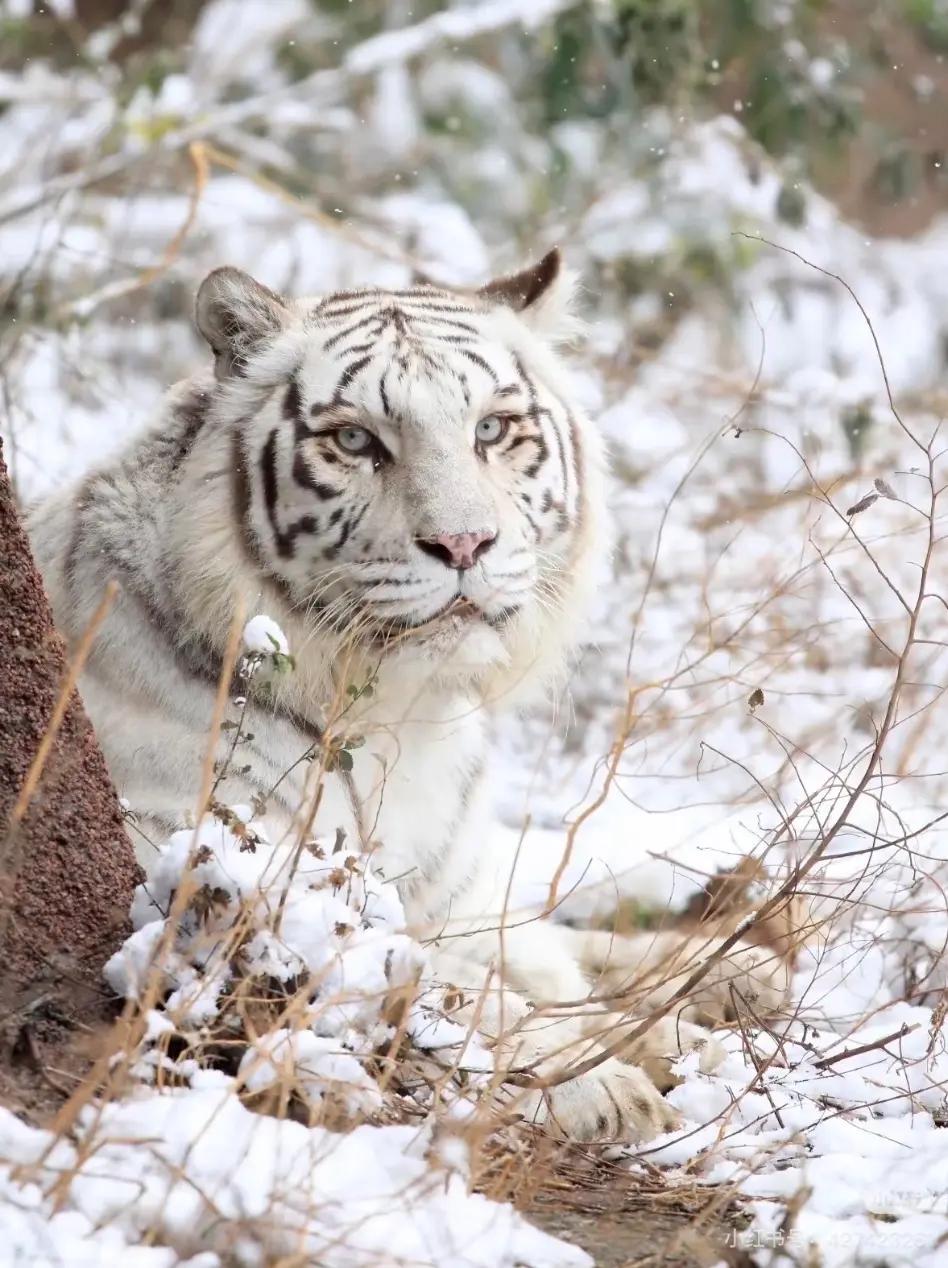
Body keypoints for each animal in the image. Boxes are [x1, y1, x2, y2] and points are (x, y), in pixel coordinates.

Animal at [29, 251, 785, 1142]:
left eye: (491, 429)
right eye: (355, 439)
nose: (464, 543)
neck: (408, 714)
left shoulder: (457, 893)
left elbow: (544, 945)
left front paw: (734, 971)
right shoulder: (220, 889)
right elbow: (465, 993)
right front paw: (611, 1082)